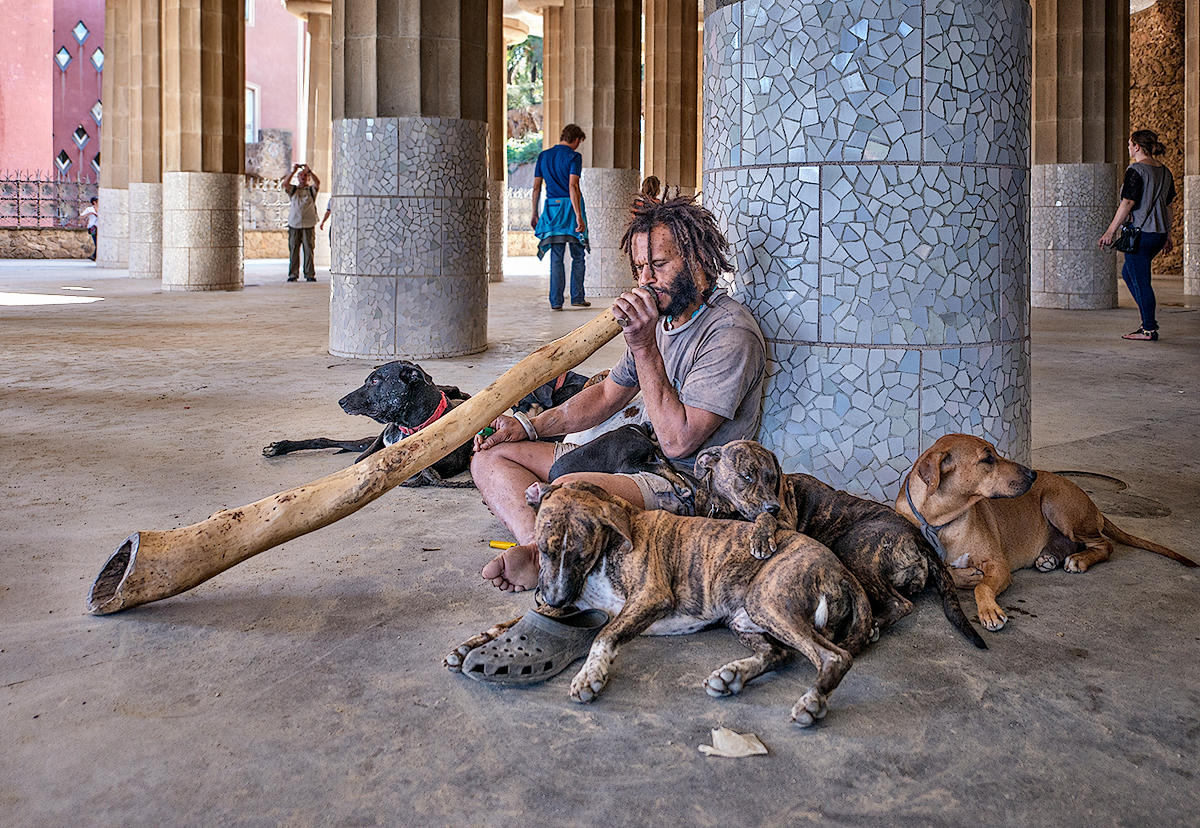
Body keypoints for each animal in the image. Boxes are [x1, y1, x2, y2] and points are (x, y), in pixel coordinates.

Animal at [262, 360, 472, 484]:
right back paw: (278, 447)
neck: (406, 426)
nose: (341, 402)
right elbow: (361, 459)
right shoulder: (376, 445)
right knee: (325, 440)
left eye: (375, 381)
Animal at [446, 477, 878, 720]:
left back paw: (812, 701)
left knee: (834, 657)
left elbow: (603, 636)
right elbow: (511, 621)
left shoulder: (649, 597)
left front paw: (590, 675)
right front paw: (470, 643)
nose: (552, 596)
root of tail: (841, 568)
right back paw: (733, 675)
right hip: (745, 619)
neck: (610, 547)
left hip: (769, 600)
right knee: (780, 654)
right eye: (545, 551)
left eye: (580, 555)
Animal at [897, 429, 1195, 628]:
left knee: (1104, 544)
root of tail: (1094, 506)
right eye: (987, 460)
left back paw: (1079, 560)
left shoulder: (998, 565)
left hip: (1057, 505)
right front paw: (966, 576)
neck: (940, 520)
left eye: (995, 453)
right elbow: (947, 573)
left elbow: (983, 587)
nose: (1032, 474)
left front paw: (989, 608)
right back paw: (1050, 557)